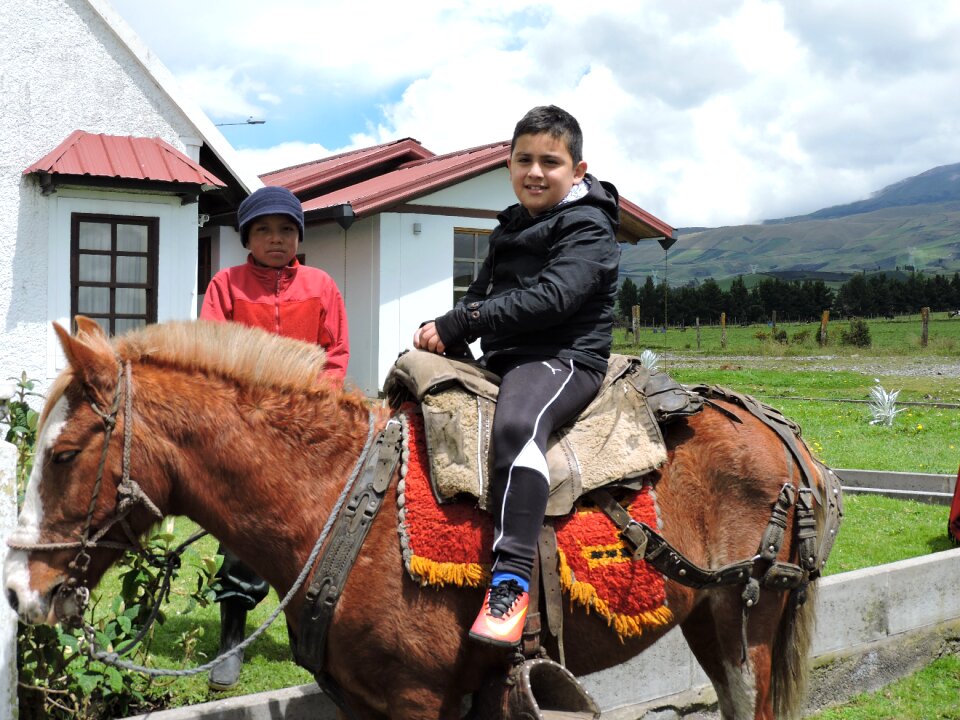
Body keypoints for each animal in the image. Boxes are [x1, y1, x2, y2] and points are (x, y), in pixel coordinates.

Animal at [3, 320, 832, 720]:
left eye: (66, 453)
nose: (17, 590)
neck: (341, 499)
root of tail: (779, 434)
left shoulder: (417, 699)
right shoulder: (367, 702)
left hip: (751, 619)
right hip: (710, 620)